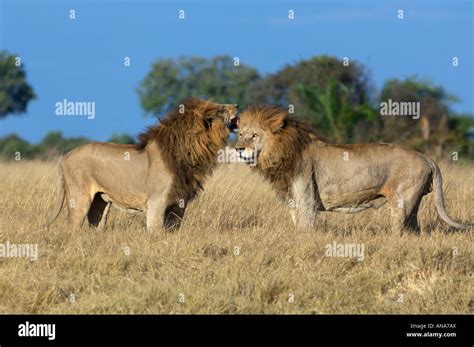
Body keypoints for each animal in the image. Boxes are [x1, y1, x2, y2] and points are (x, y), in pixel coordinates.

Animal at [47, 99, 239, 232]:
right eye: (222, 109)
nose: (237, 105)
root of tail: (65, 157)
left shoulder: (179, 203)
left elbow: (174, 229)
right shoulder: (157, 201)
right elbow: (156, 230)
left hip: (100, 202)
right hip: (79, 198)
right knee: (72, 227)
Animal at [235, 104, 472, 232]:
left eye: (254, 135)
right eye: (240, 134)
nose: (238, 148)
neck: (279, 154)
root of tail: (427, 157)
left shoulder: (307, 200)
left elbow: (304, 228)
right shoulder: (292, 200)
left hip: (401, 202)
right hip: (414, 203)